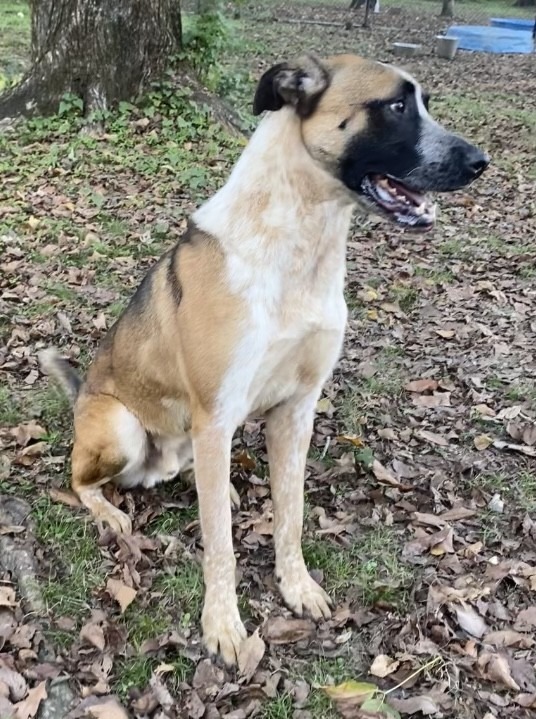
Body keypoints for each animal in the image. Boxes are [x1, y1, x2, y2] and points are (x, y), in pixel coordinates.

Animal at [39, 53, 488, 668]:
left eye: (423, 104)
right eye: (396, 106)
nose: (480, 162)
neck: (301, 243)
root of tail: (83, 392)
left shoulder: (297, 411)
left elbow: (291, 516)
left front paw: (296, 587)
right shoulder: (216, 413)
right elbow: (221, 546)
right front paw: (223, 624)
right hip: (122, 427)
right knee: (81, 479)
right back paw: (111, 510)